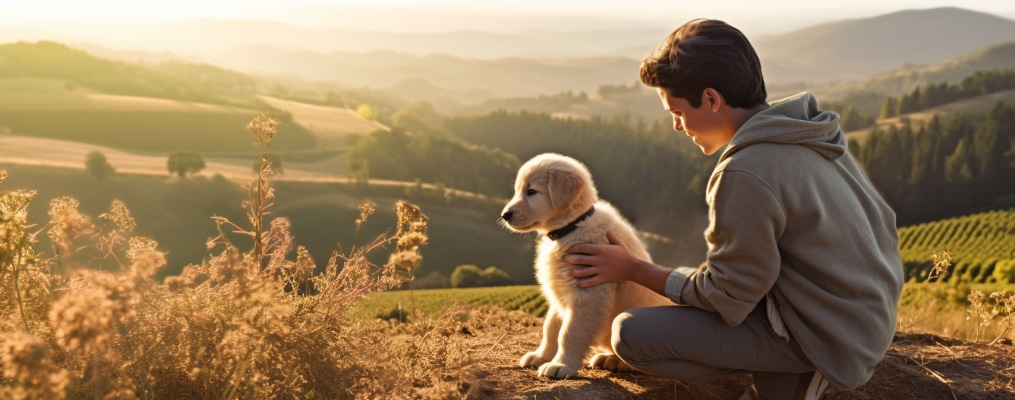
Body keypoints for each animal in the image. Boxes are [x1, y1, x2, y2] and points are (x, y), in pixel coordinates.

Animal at [501, 152, 673, 377]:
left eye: (531, 192)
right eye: (518, 190)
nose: (505, 215)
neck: (572, 227)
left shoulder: (588, 292)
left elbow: (569, 332)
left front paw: (561, 365)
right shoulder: (560, 292)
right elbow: (551, 327)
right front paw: (542, 356)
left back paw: (616, 361)